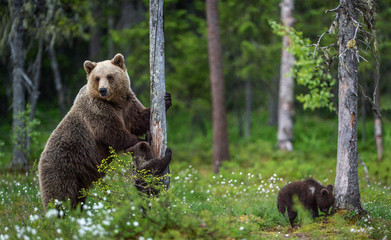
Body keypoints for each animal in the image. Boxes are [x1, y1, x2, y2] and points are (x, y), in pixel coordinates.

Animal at [39, 53, 172, 209]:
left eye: (109, 76)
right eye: (97, 78)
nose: (103, 90)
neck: (114, 102)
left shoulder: (127, 105)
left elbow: (138, 119)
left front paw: (167, 99)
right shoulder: (98, 111)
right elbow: (113, 133)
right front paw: (143, 140)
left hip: (78, 180)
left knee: (78, 198)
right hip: (61, 169)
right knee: (60, 198)